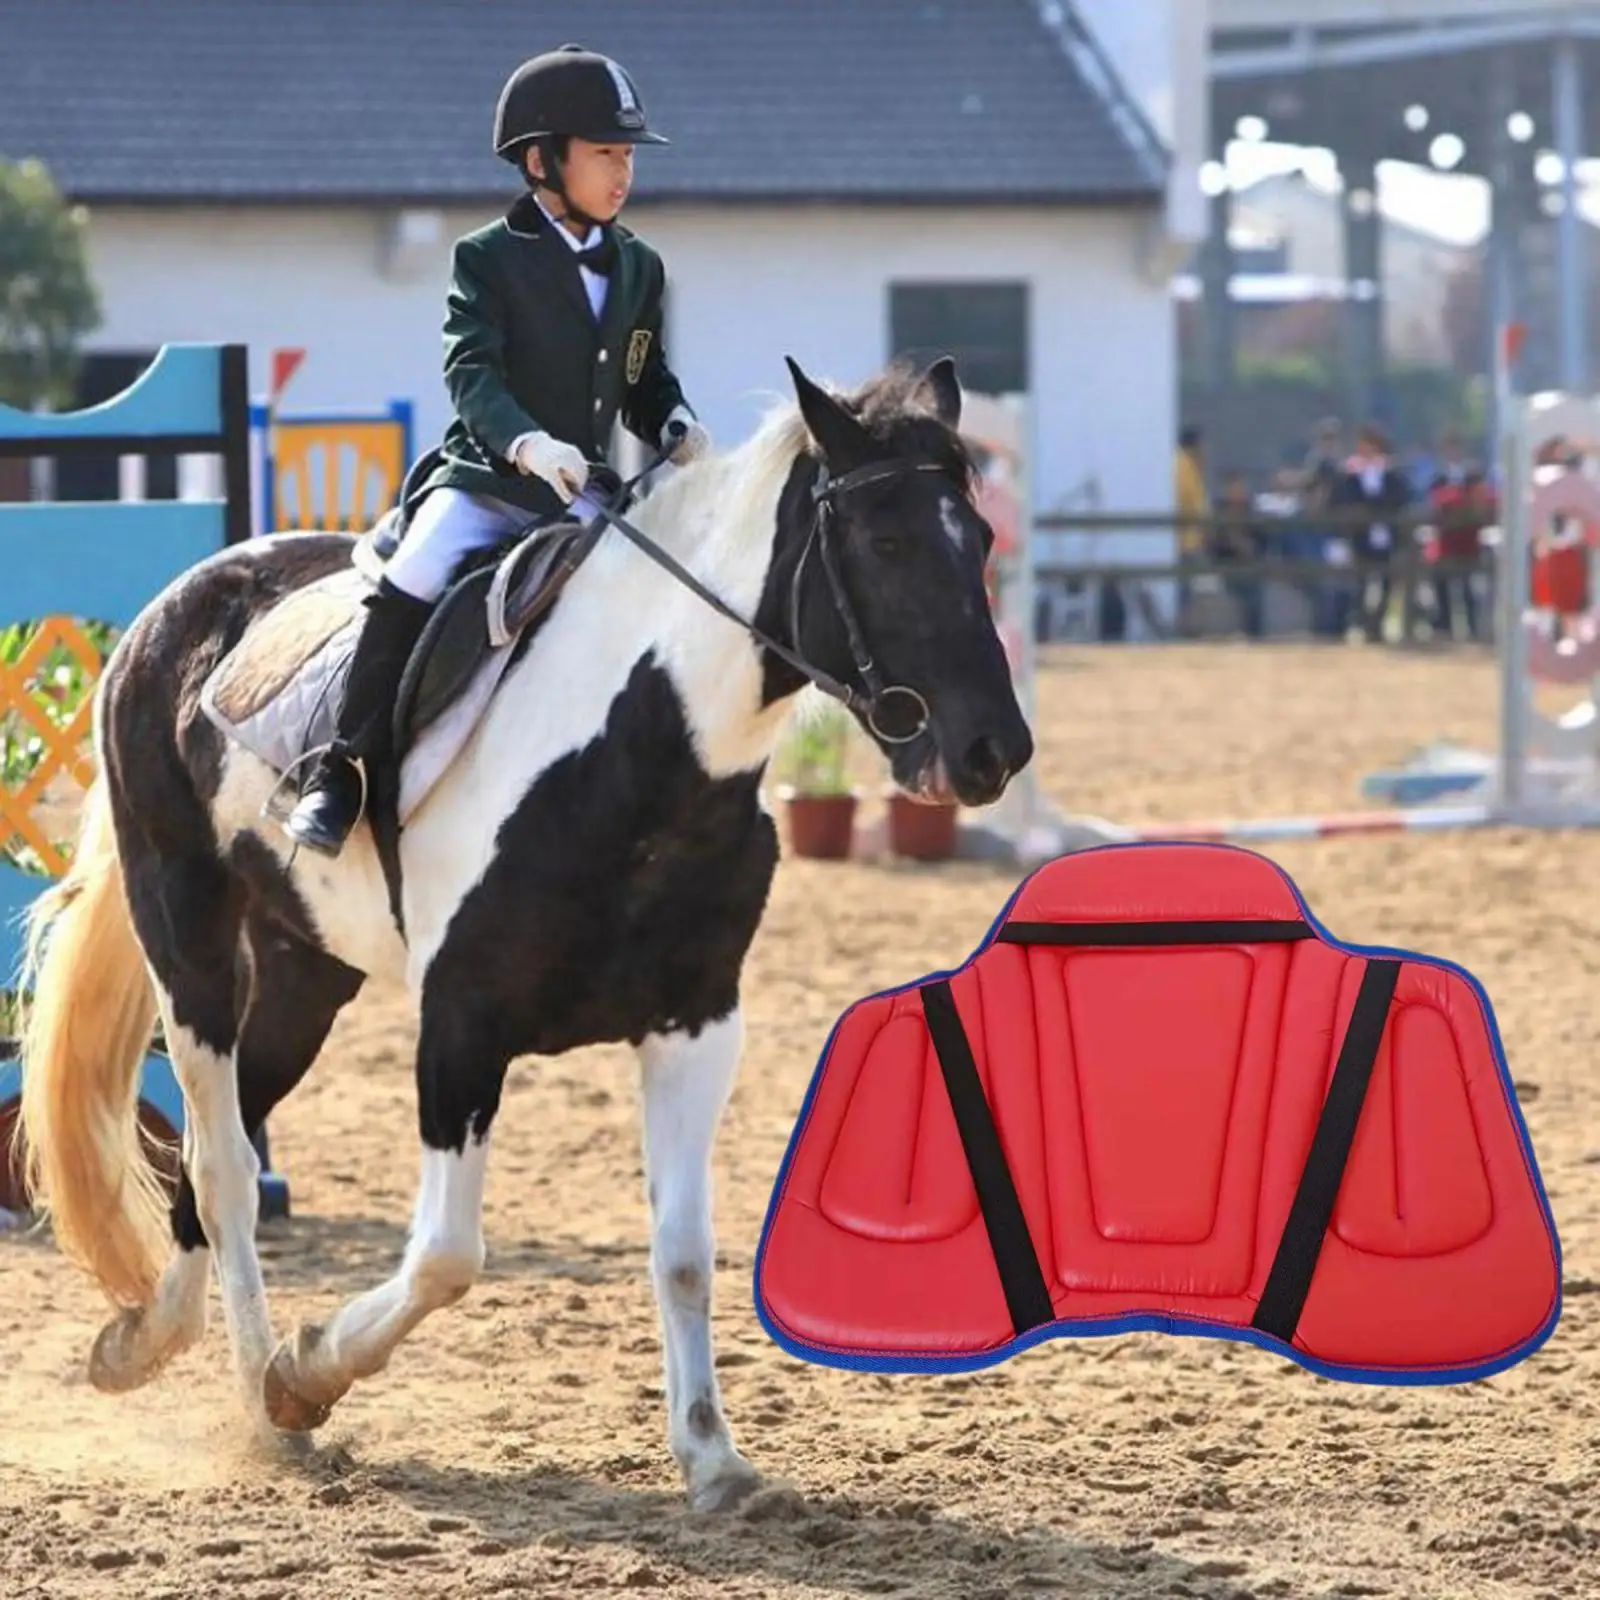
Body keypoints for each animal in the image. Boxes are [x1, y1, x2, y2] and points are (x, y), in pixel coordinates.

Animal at [13, 353, 1033, 1511]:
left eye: (979, 537)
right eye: (886, 542)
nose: (993, 750)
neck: (643, 751)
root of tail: (174, 609)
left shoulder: (697, 1024)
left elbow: (684, 1247)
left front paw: (712, 1456)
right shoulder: (461, 1022)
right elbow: (447, 1253)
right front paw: (306, 1374)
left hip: (304, 978)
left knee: (200, 1154)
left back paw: (141, 1339)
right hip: (188, 949)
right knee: (226, 1162)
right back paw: (259, 1398)